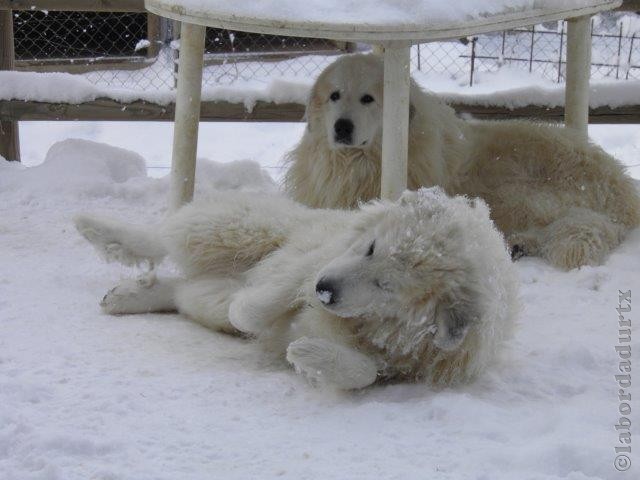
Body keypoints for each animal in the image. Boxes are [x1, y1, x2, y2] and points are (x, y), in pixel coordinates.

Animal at [75, 188, 516, 390]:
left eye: (386, 285)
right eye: (371, 249)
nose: (325, 292)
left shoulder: (401, 364)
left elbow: (365, 372)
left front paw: (308, 354)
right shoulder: (318, 254)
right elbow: (264, 301)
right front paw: (255, 308)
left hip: (209, 288)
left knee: (182, 289)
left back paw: (126, 297)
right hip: (246, 227)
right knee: (162, 237)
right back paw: (94, 226)